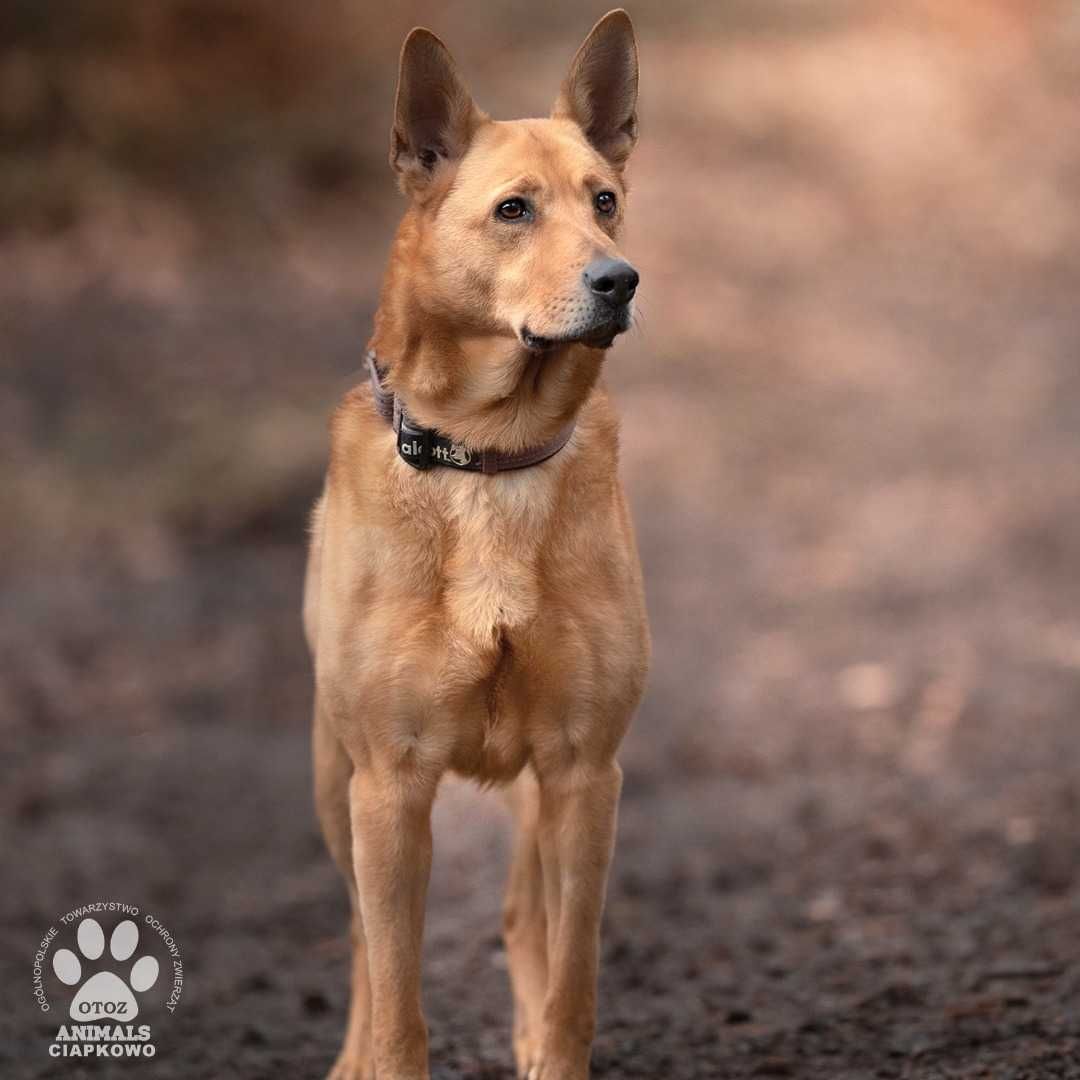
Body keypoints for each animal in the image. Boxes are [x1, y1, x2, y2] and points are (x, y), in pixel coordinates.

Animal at [300, 10, 643, 1080]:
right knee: (362, 944)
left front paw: (551, 1046)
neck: (488, 459)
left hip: (537, 798)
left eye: (605, 201)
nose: (620, 280)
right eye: (513, 210)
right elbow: (398, 996)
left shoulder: (584, 773)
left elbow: (574, 981)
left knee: (526, 918)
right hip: (334, 782)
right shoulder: (389, 786)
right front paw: (380, 1054)